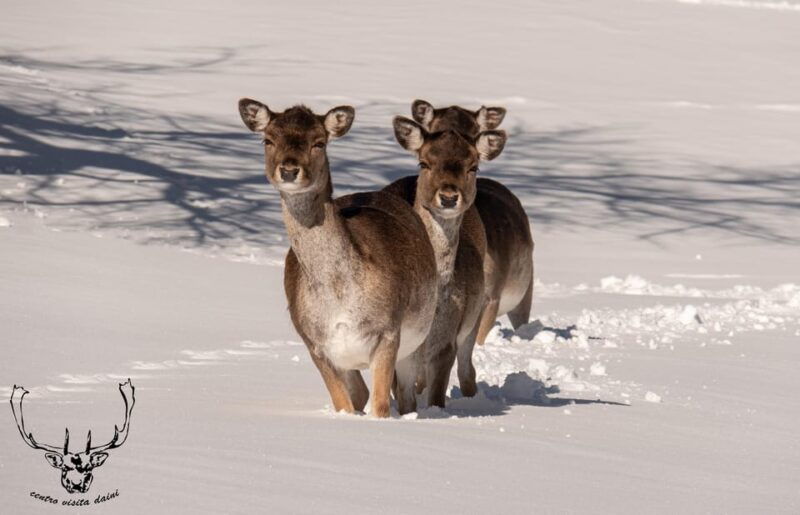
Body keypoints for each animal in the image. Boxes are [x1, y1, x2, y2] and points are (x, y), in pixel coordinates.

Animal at [238, 99, 438, 417]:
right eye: (268, 140)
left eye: (319, 142)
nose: (290, 170)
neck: (340, 296)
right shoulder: (315, 343)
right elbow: (344, 404)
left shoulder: (388, 331)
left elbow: (380, 406)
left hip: (415, 339)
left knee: (406, 397)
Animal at [384, 117, 506, 406]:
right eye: (424, 162)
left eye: (473, 166)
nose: (449, 197)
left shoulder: (447, 338)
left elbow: (437, 394)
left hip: (475, 314)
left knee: (467, 369)